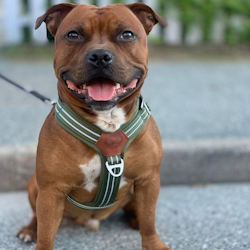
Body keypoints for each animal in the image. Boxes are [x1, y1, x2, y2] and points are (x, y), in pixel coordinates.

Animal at [16, 2, 171, 250]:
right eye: (73, 35)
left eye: (127, 34)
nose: (99, 55)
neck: (108, 123)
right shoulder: (50, 191)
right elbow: (46, 233)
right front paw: (39, 235)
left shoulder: (148, 181)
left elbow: (149, 219)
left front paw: (153, 243)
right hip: (34, 184)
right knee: (36, 216)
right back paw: (30, 230)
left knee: (136, 210)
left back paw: (134, 219)